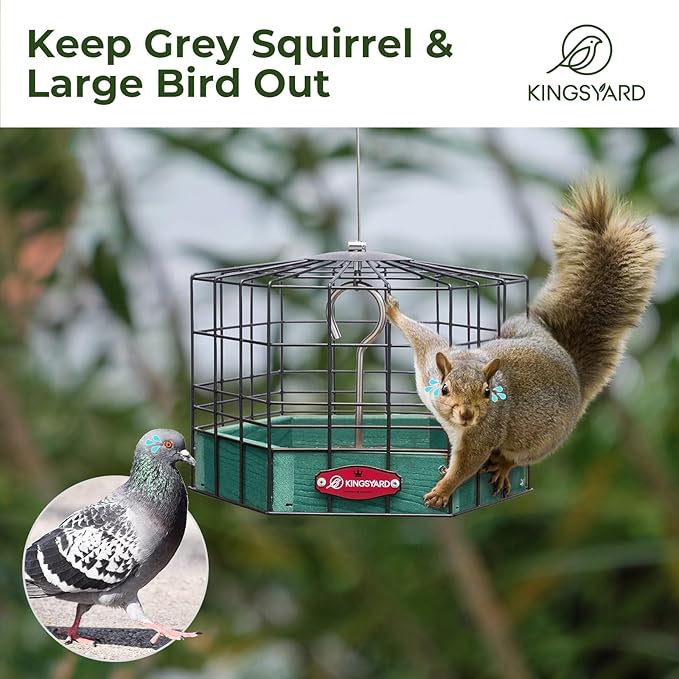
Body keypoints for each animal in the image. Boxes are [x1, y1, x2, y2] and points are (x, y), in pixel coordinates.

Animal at [386, 179, 661, 509]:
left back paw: (504, 466)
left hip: (539, 441)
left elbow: (466, 465)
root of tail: (573, 373)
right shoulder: (429, 360)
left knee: (518, 456)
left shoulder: (483, 435)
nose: (467, 415)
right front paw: (392, 310)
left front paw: (442, 491)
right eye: (444, 389)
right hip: (517, 326)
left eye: (487, 392)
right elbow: (421, 336)